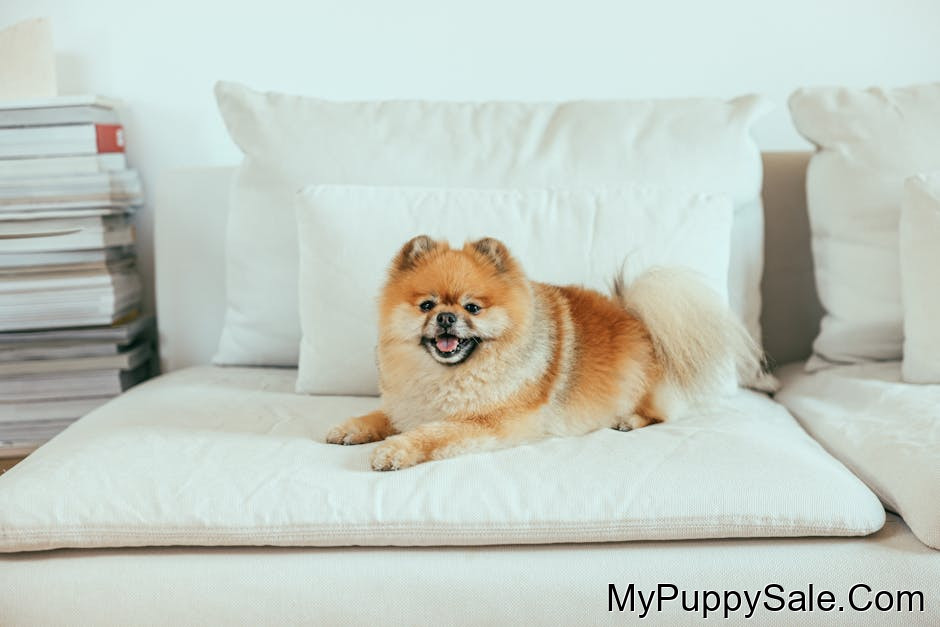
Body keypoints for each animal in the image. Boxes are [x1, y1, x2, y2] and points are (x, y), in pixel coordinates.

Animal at [325, 235, 773, 470]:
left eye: (472, 308)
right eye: (427, 305)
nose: (447, 318)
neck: (450, 375)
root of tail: (639, 319)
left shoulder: (488, 422)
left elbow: (432, 435)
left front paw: (395, 450)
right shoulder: (409, 404)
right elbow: (383, 416)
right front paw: (353, 428)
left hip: (644, 389)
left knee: (660, 413)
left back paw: (628, 420)